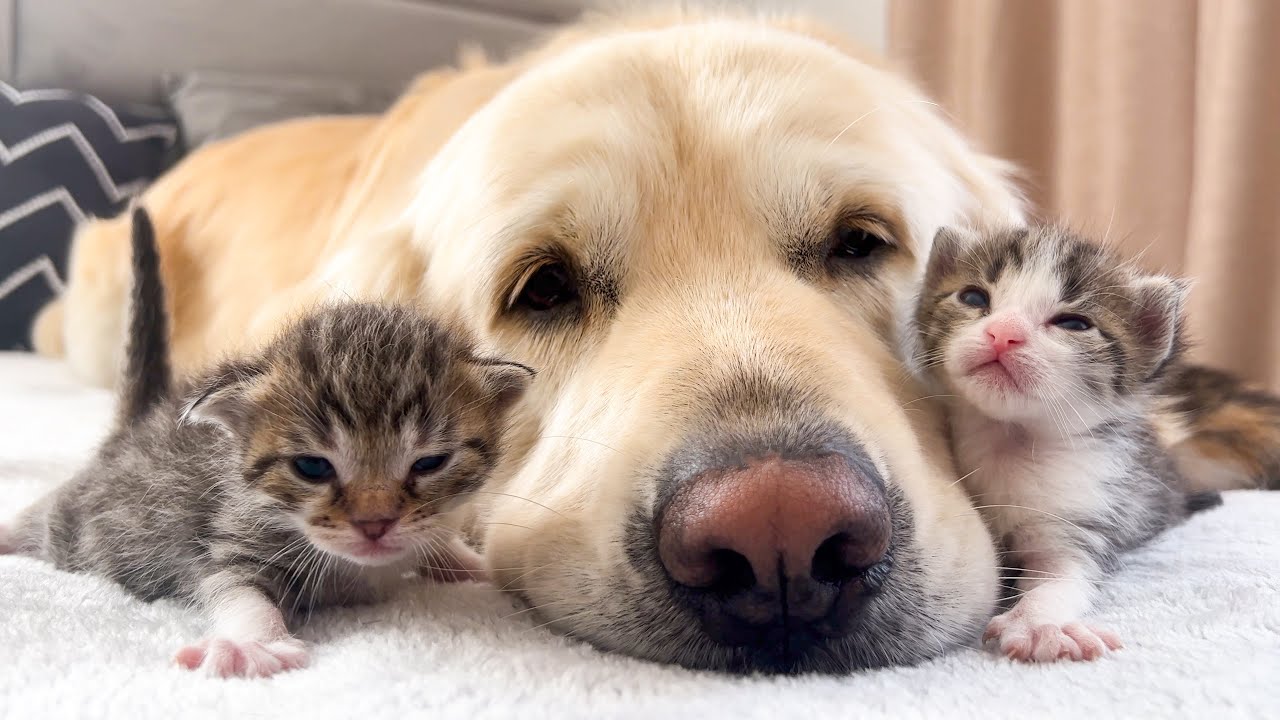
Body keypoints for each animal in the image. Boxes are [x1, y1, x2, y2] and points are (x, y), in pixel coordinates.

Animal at [0, 206, 529, 671]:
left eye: (429, 463)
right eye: (312, 467)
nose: (374, 524)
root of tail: (139, 423)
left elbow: (436, 535)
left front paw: (474, 563)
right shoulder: (231, 533)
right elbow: (237, 588)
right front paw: (250, 642)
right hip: (77, 523)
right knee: (44, 514)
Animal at [911, 222, 1218, 661]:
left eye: (1073, 323)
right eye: (973, 297)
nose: (1003, 333)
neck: (1008, 436)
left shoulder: (1081, 508)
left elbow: (1063, 574)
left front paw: (1040, 624)